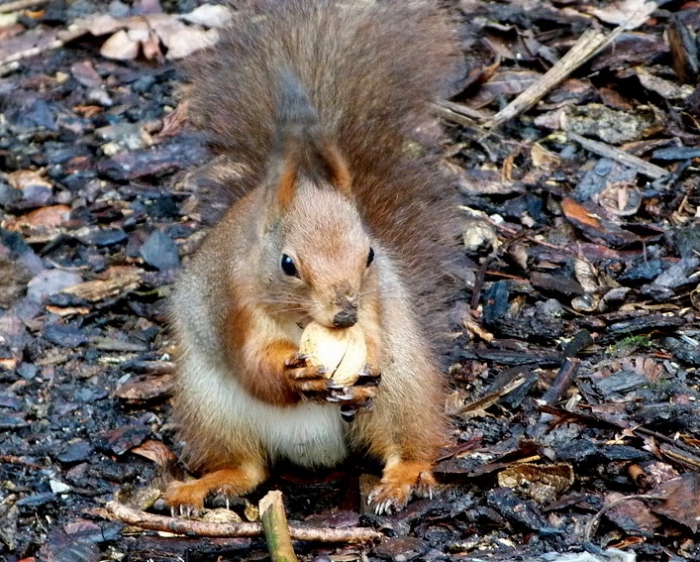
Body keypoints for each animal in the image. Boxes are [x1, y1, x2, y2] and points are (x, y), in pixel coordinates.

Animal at [164, 0, 461, 514]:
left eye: (370, 254)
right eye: (288, 265)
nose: (344, 316)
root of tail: (316, 452)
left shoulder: (375, 299)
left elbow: (374, 331)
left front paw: (363, 356)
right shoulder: (233, 304)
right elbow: (252, 366)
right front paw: (293, 375)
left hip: (403, 386)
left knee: (408, 440)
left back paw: (403, 477)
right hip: (210, 403)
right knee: (247, 466)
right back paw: (207, 484)